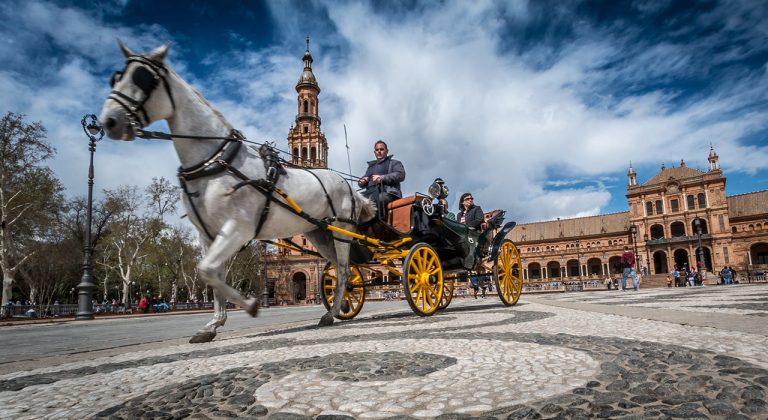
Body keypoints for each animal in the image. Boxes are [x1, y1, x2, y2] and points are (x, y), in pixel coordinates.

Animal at [99, 42, 376, 342]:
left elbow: (208, 271)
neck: (216, 160)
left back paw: (331, 312)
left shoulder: (238, 227)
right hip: (320, 234)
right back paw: (339, 307)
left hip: (341, 231)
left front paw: (250, 305)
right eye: (116, 77)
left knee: (345, 269)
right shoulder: (209, 235)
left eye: (143, 78)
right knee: (340, 269)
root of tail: (347, 186)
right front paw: (213, 324)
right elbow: (212, 274)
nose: (109, 121)